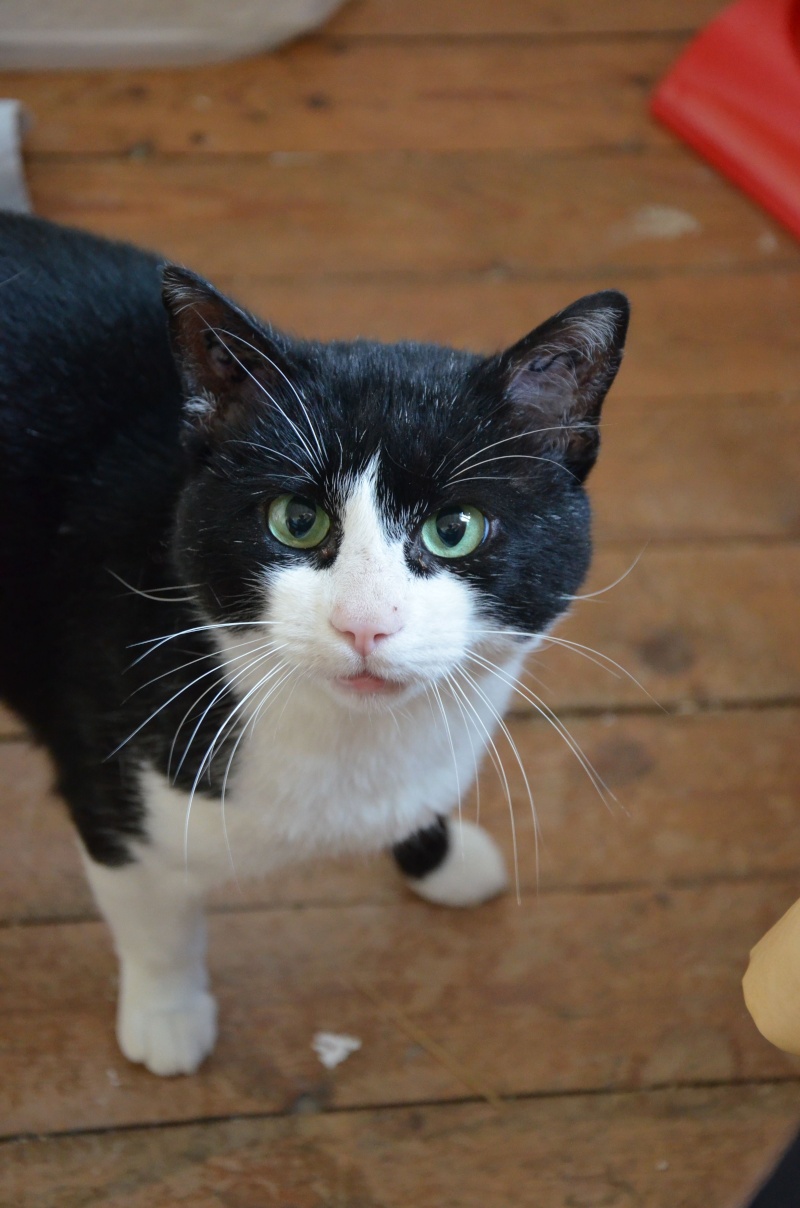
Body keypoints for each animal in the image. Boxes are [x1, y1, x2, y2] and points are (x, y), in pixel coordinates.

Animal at [0, 210, 628, 1077]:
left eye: (456, 528)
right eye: (296, 520)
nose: (365, 621)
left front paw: (439, 857)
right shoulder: (105, 774)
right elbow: (155, 920)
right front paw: (168, 1016)